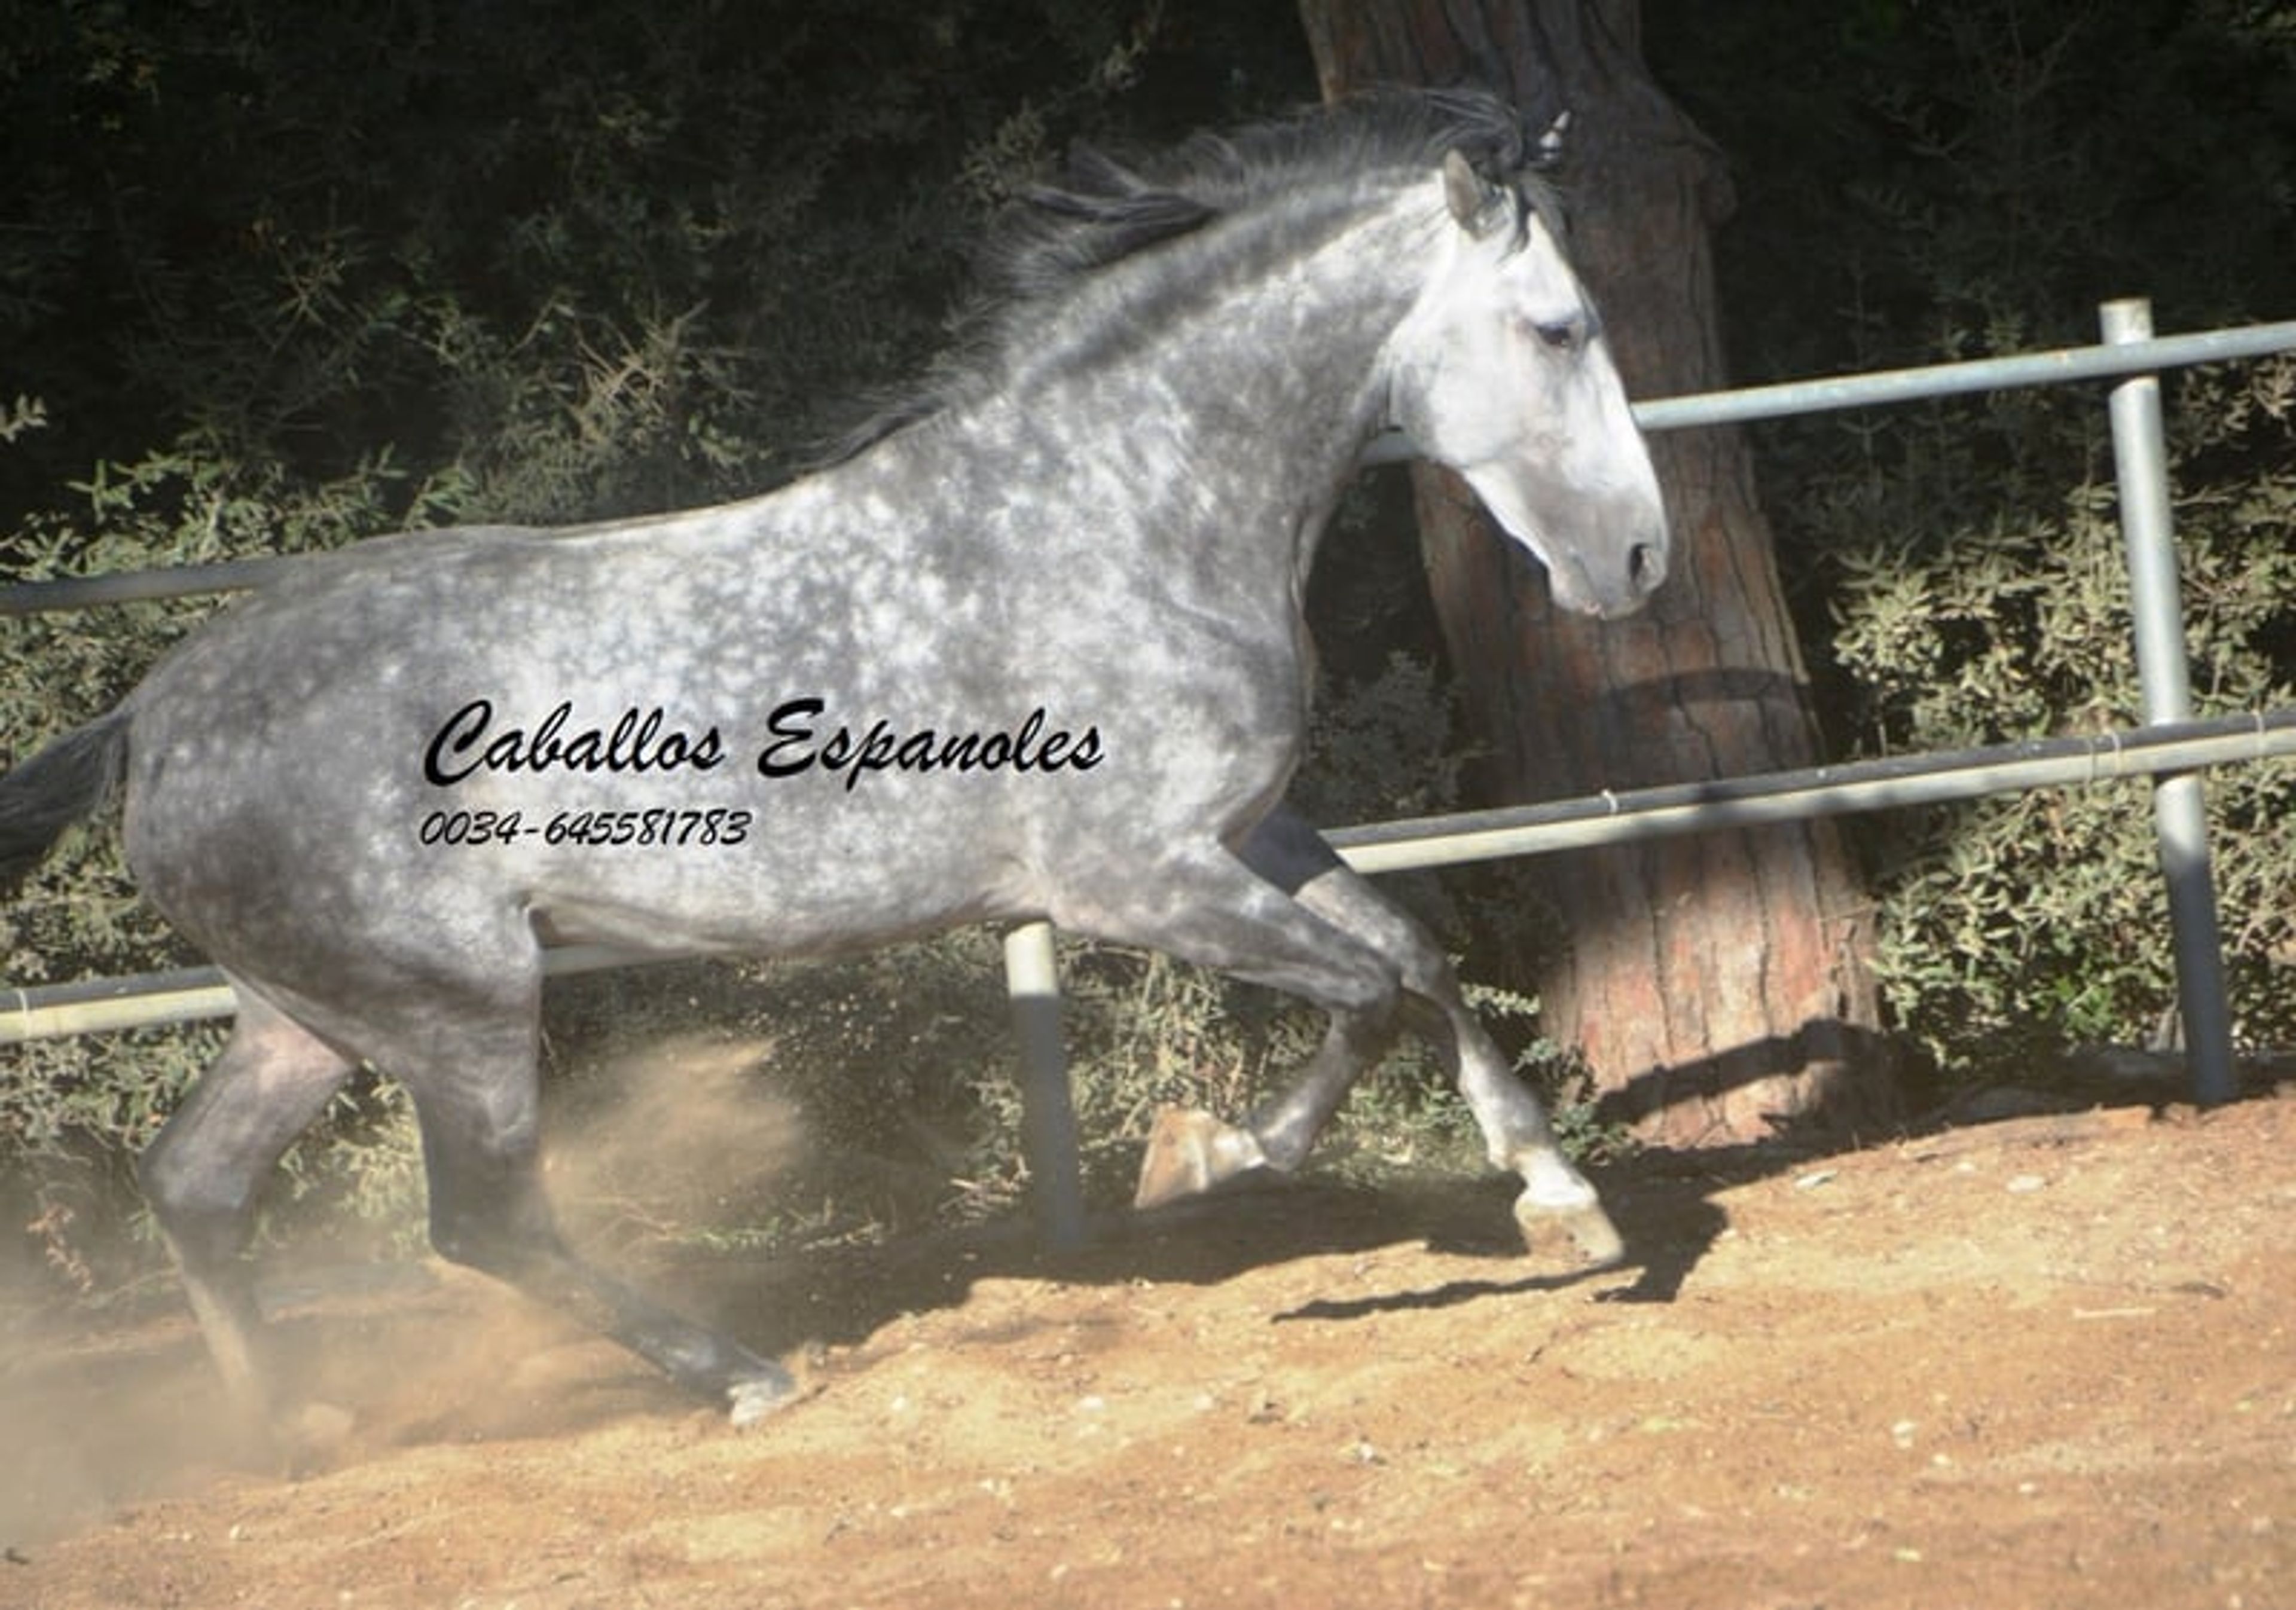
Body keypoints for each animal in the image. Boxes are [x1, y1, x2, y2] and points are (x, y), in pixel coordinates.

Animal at [0, 88, 1668, 1442]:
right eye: (1558, 328)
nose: (1639, 562)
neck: (1109, 512)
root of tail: (153, 717)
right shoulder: (1130, 877)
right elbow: (1363, 992)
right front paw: (1200, 1158)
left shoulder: (1242, 829)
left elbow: (1416, 950)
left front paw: (1565, 1206)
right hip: (454, 1007)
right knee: (479, 1223)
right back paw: (743, 1376)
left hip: (312, 1012)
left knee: (198, 1183)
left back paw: (289, 1427)